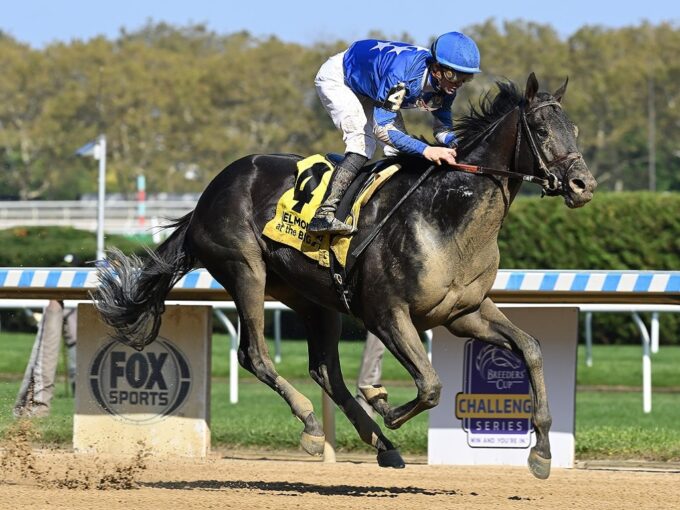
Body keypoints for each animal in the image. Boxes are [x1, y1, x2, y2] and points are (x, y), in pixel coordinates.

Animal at [94, 74, 596, 478]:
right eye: (543, 130)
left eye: (574, 129)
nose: (583, 185)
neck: (445, 215)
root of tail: (205, 197)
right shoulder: (387, 314)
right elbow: (431, 385)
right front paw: (383, 400)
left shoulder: (464, 312)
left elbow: (530, 349)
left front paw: (542, 453)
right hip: (245, 270)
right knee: (255, 355)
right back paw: (314, 426)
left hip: (312, 298)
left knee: (325, 370)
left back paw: (382, 446)